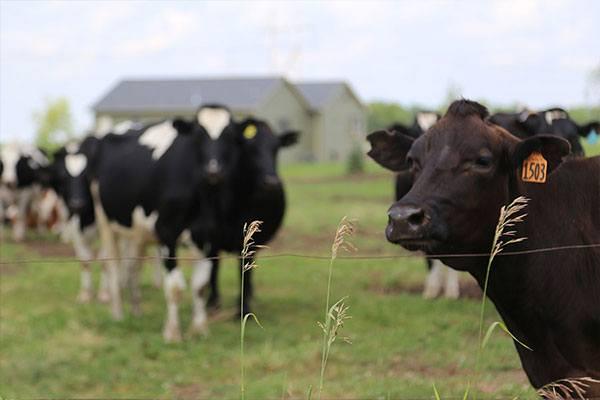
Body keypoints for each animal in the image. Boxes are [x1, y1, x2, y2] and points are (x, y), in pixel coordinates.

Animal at [89, 105, 239, 340]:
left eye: (230, 136)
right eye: (198, 135)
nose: (213, 170)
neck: (203, 196)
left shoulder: (209, 235)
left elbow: (200, 286)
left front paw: (200, 329)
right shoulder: (167, 232)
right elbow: (176, 288)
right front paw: (173, 332)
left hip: (138, 231)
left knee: (133, 267)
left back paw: (136, 311)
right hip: (106, 222)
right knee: (112, 265)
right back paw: (118, 313)